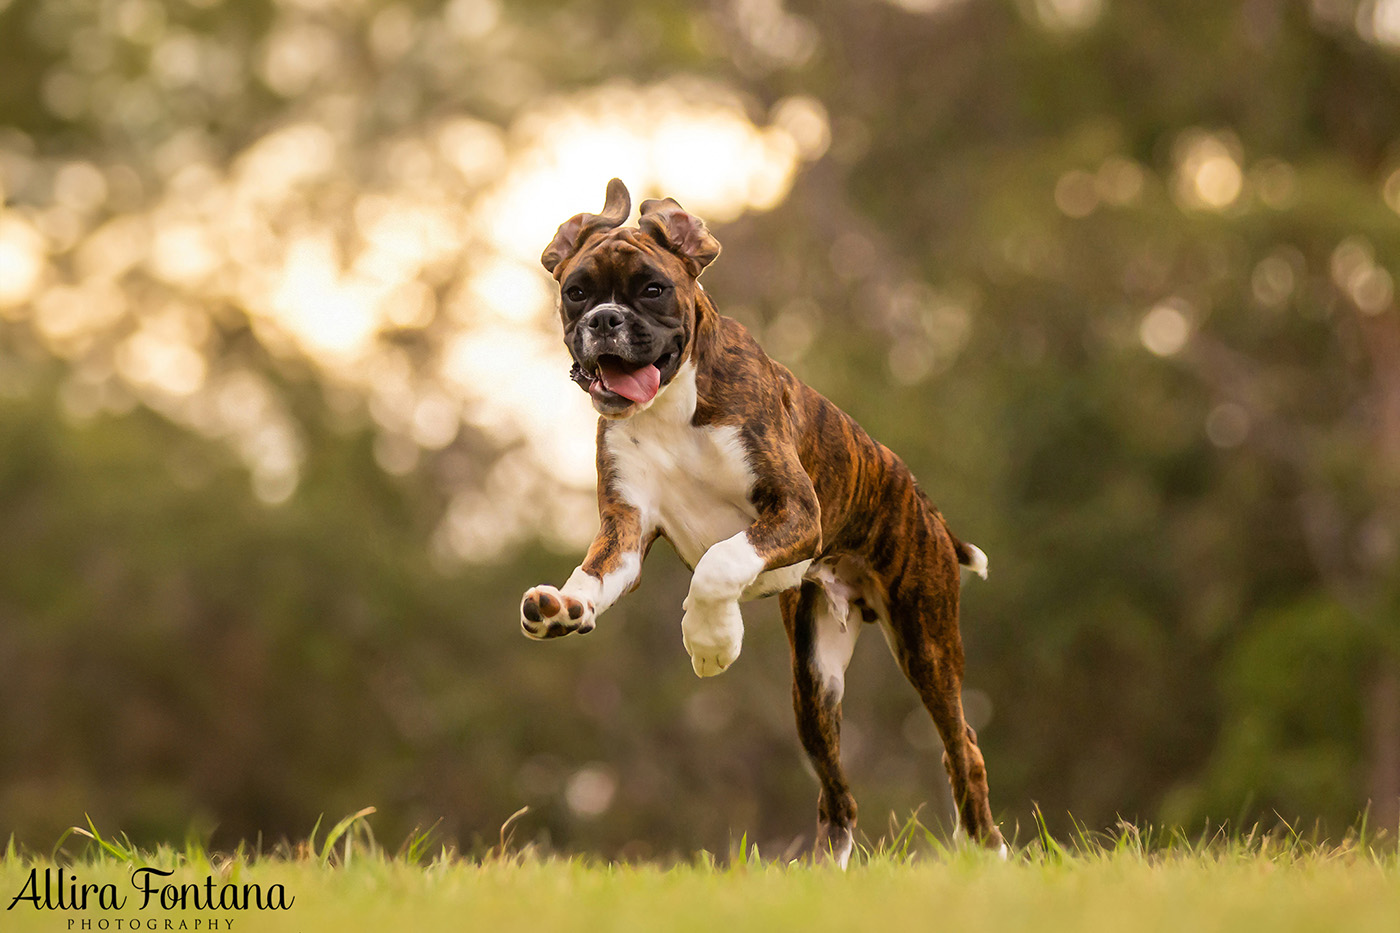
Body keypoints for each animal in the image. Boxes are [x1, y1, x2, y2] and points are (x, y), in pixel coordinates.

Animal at [520, 177, 1002, 862]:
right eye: (577, 292)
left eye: (653, 289)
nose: (604, 320)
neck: (670, 405)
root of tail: (924, 503)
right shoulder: (626, 529)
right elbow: (597, 575)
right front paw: (564, 608)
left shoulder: (797, 511)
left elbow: (719, 563)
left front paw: (711, 642)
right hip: (814, 685)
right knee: (839, 794)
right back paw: (827, 868)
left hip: (926, 646)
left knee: (963, 748)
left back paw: (988, 849)